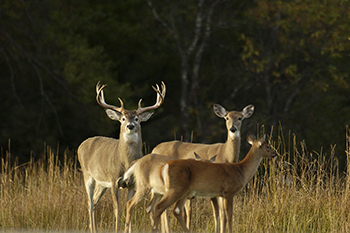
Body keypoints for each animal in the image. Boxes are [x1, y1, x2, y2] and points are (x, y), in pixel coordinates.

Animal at [78, 81, 166, 232]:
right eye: (123, 118)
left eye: (137, 118)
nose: (130, 126)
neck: (126, 162)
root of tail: (82, 144)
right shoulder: (114, 180)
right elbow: (117, 209)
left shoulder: (132, 184)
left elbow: (129, 207)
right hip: (87, 175)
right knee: (89, 202)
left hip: (102, 183)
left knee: (94, 201)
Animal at [152, 104, 253, 233]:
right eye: (227, 118)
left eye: (240, 118)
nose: (233, 129)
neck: (226, 155)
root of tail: (153, 149)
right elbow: (220, 213)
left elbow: (220, 213)